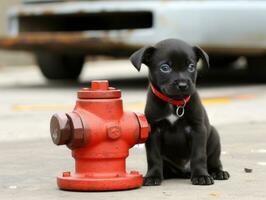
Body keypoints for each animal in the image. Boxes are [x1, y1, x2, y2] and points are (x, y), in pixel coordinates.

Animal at [130, 38, 230, 185]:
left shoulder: (197, 129)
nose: (183, 85)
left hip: (214, 138)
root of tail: (184, 171)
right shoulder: (153, 132)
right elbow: (153, 157)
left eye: (191, 67)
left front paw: (201, 175)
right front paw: (153, 176)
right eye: (165, 68)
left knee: (214, 160)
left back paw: (218, 172)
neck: (174, 103)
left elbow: (199, 155)